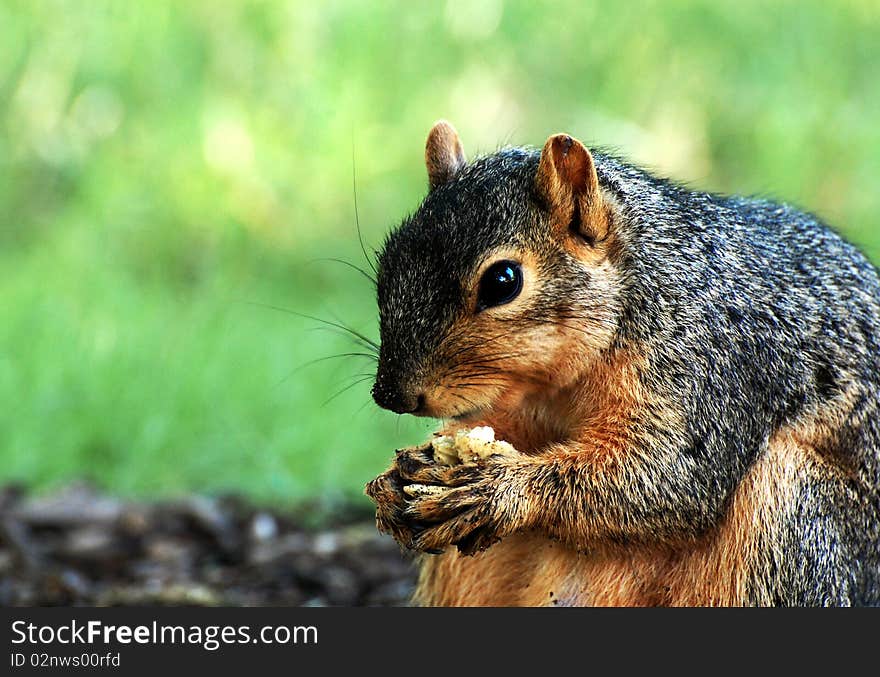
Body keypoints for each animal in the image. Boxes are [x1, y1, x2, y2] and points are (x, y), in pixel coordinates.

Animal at [360, 119, 876, 604]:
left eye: (503, 281)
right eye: (389, 261)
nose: (389, 394)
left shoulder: (710, 372)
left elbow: (670, 473)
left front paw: (502, 487)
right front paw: (392, 482)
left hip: (793, 511)